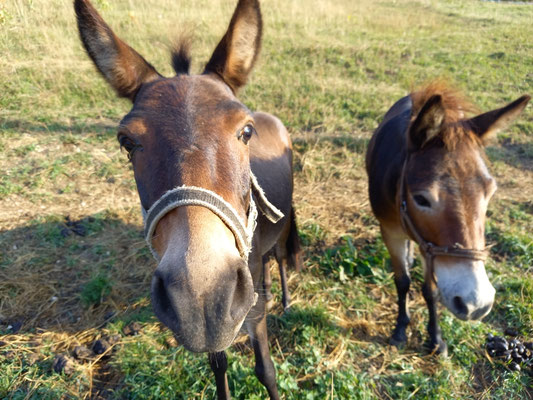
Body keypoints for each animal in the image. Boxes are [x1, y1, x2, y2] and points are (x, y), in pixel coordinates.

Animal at [74, 0, 302, 397]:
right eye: (127, 142)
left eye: (246, 132)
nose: (201, 296)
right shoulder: (220, 326)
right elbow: (219, 364)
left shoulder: (250, 313)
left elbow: (266, 370)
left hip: (284, 221)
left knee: (279, 255)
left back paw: (284, 297)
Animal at [366, 82, 530, 355]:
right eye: (421, 199)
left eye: (490, 192)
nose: (477, 304)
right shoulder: (390, 230)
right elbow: (402, 281)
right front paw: (400, 329)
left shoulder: (429, 248)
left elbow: (430, 290)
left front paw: (435, 339)